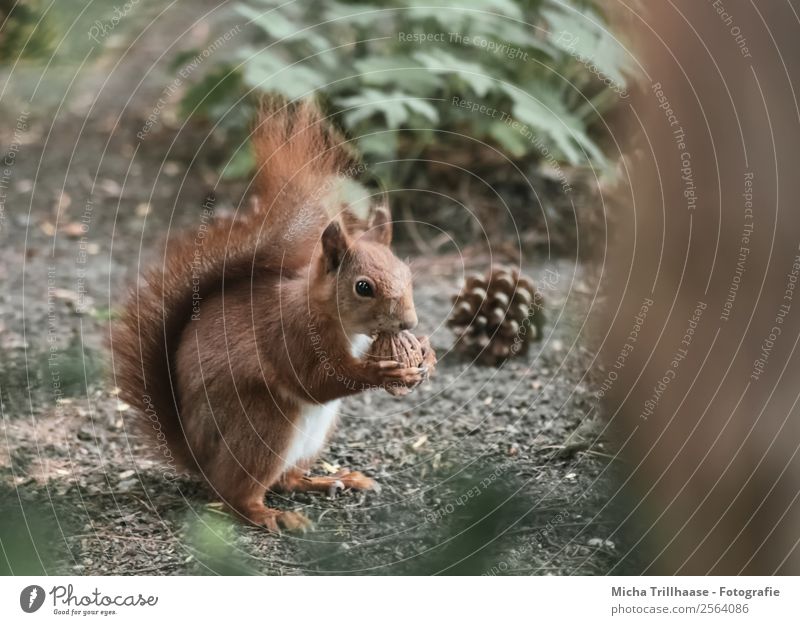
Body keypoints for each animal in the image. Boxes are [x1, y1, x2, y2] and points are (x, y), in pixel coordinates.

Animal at [110, 100, 434, 528]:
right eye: (363, 287)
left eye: (408, 276)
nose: (409, 323)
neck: (329, 316)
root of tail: (199, 460)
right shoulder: (292, 334)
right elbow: (316, 381)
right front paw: (381, 372)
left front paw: (426, 355)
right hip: (263, 422)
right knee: (237, 495)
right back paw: (270, 515)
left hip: (313, 435)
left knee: (286, 479)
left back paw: (329, 481)